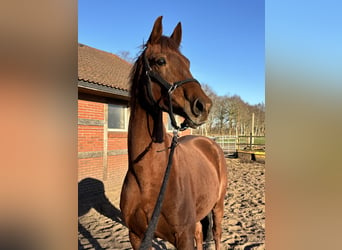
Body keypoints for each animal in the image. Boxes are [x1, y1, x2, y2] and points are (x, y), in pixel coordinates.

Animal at [120, 16, 227, 249]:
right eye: (160, 61)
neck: (150, 178)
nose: (204, 105)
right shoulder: (136, 236)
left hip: (218, 205)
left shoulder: (183, 237)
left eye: (188, 63)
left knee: (216, 234)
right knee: (200, 233)